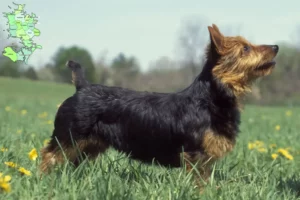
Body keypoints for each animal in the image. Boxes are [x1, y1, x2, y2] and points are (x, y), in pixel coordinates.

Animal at [39, 23, 278, 191]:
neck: (210, 98)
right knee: (48, 156)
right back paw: (43, 180)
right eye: (245, 48)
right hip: (68, 137)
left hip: (89, 145)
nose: (276, 46)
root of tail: (82, 87)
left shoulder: (206, 160)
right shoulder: (195, 157)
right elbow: (198, 183)